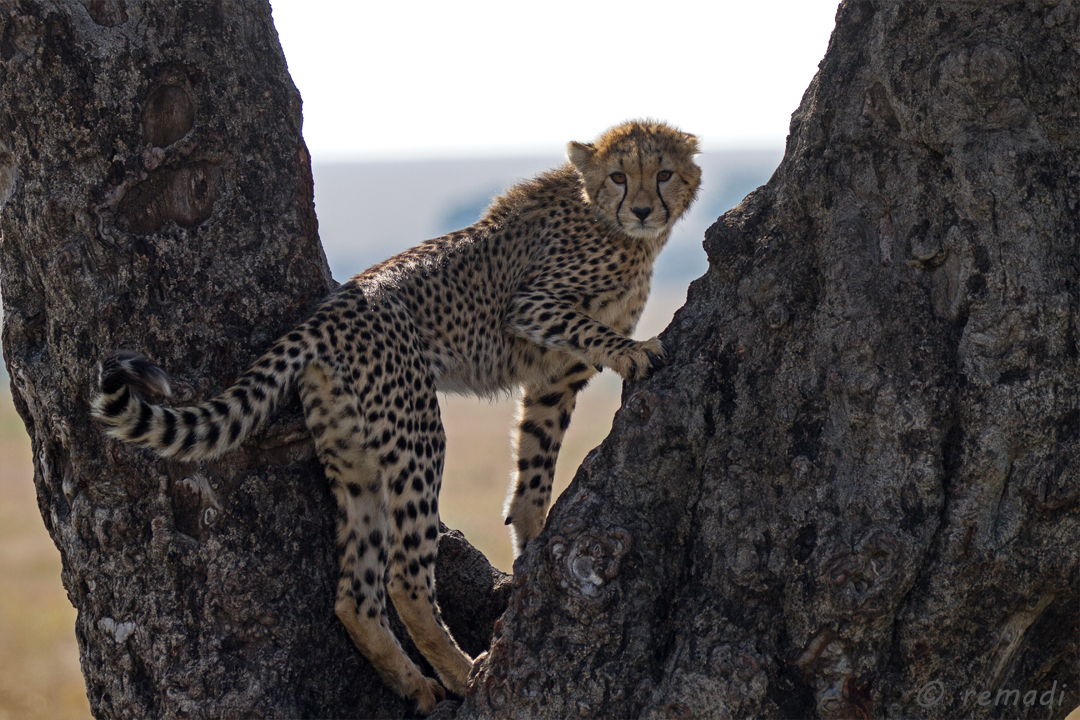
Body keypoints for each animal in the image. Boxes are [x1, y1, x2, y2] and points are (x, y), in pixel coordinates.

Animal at [90, 119, 699, 716]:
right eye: (619, 176)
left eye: (663, 173)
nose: (643, 209)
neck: (615, 227)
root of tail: (327, 311)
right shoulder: (532, 307)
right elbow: (589, 331)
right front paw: (634, 352)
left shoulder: (551, 383)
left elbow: (534, 467)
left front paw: (530, 543)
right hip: (417, 431)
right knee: (405, 577)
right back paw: (462, 672)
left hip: (351, 453)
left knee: (353, 593)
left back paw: (414, 685)